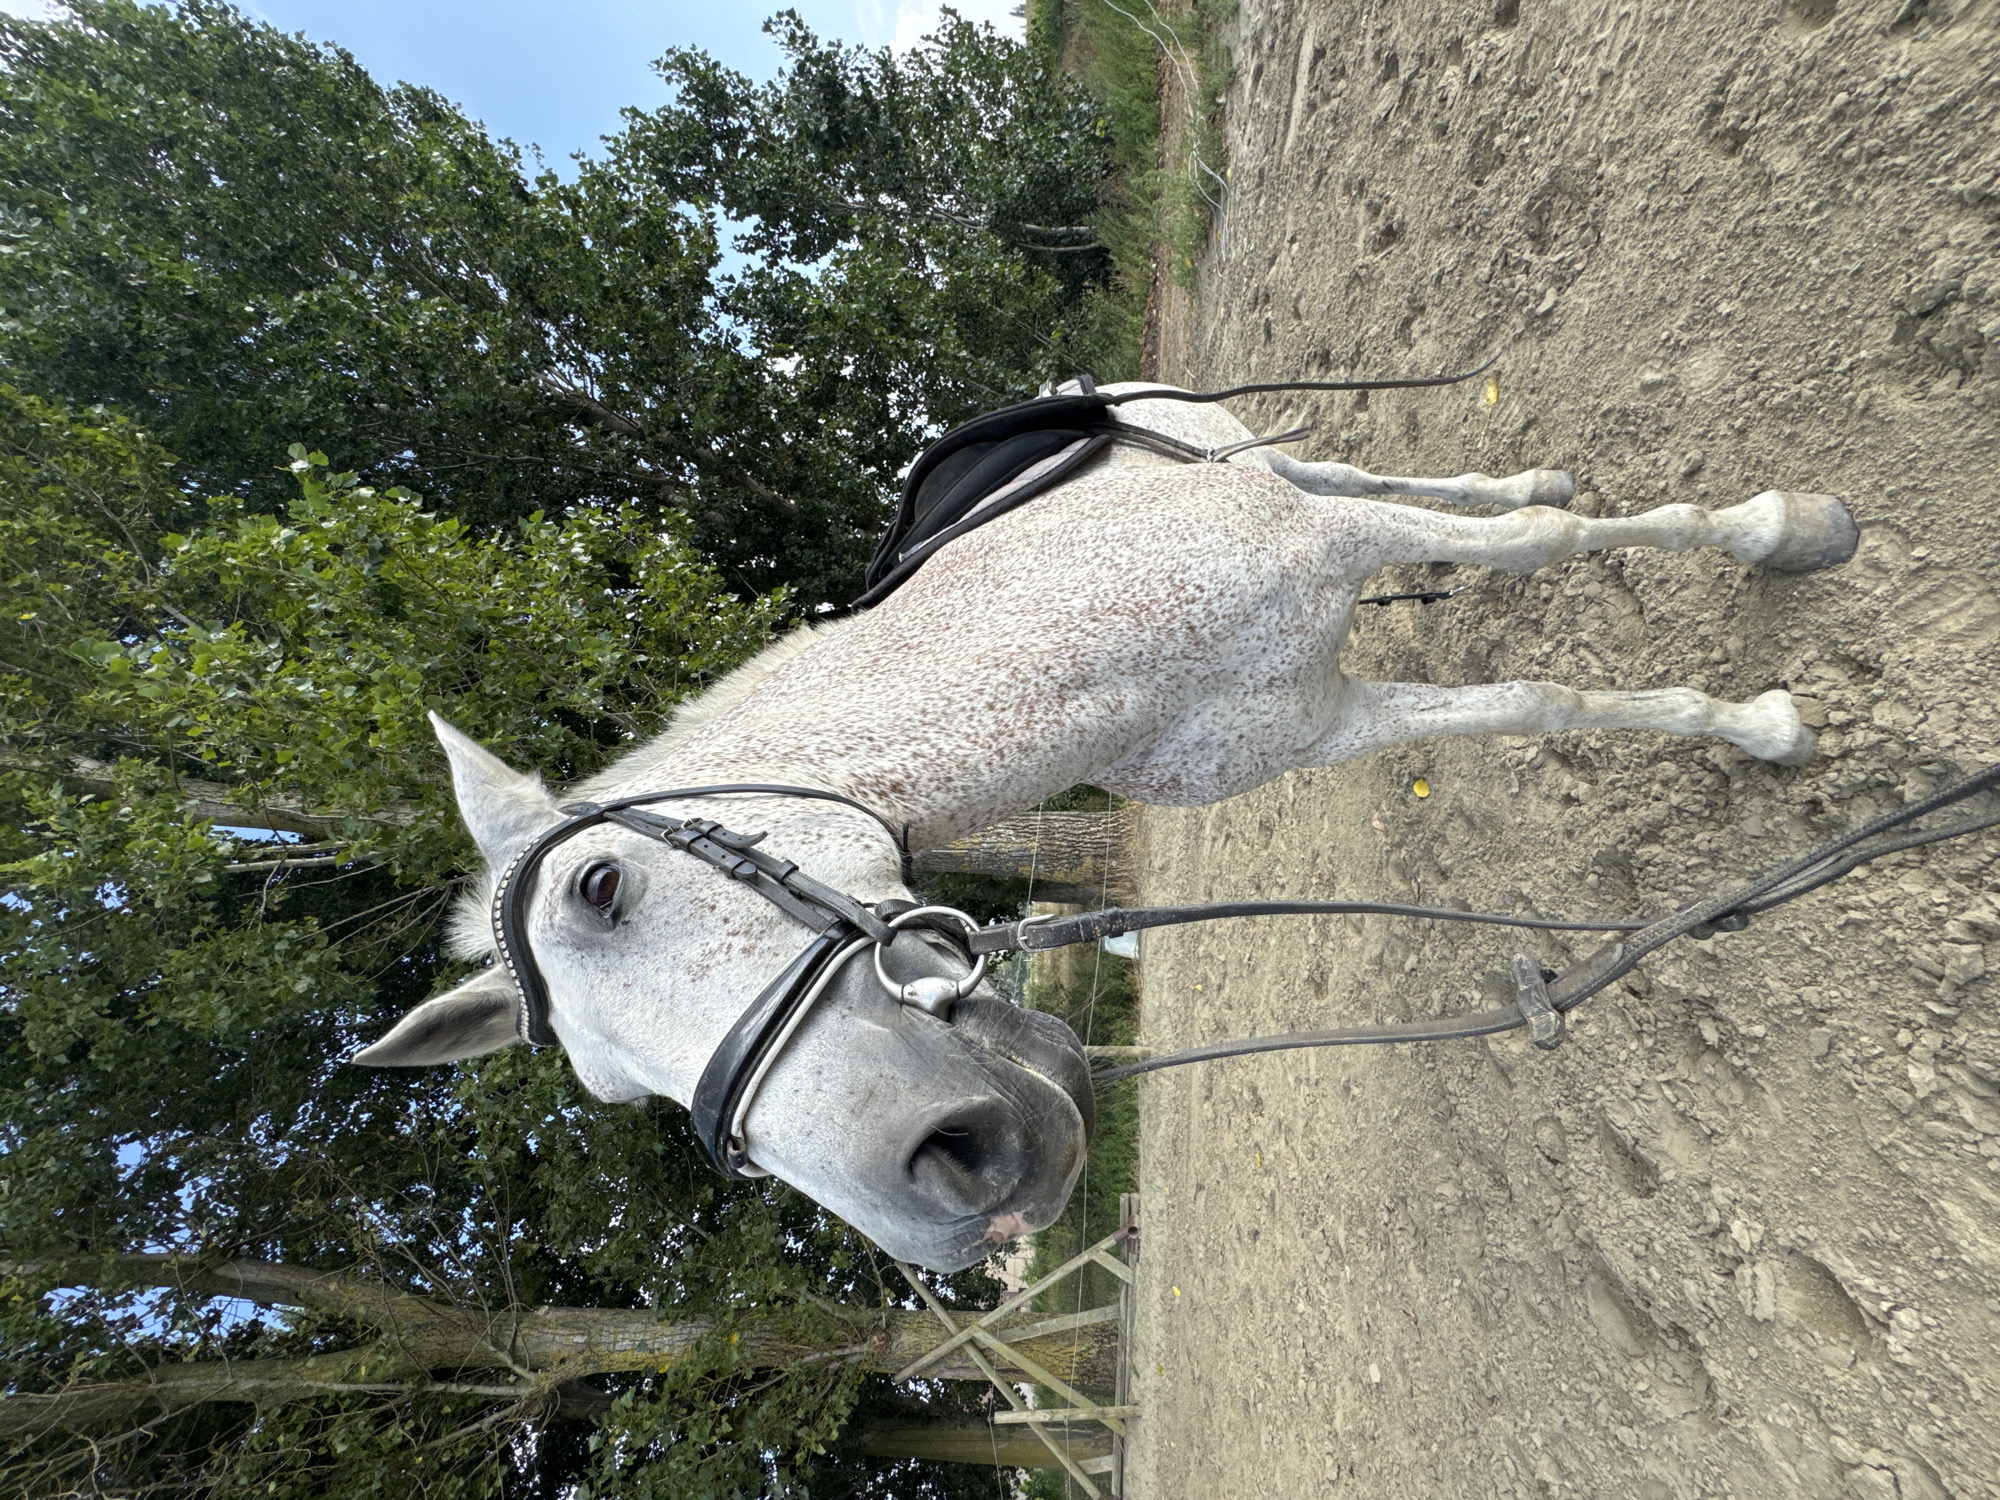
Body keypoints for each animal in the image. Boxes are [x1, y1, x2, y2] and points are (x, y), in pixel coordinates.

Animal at [354, 382, 1858, 1270]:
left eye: (603, 886)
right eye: (617, 1094)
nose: (948, 1185)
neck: (1100, 658)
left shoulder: (1329, 557)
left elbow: (1554, 581)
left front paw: (1778, 598)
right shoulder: (1312, 722)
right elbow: (1528, 702)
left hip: (1273, 471)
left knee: (1412, 490)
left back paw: (1566, 494)